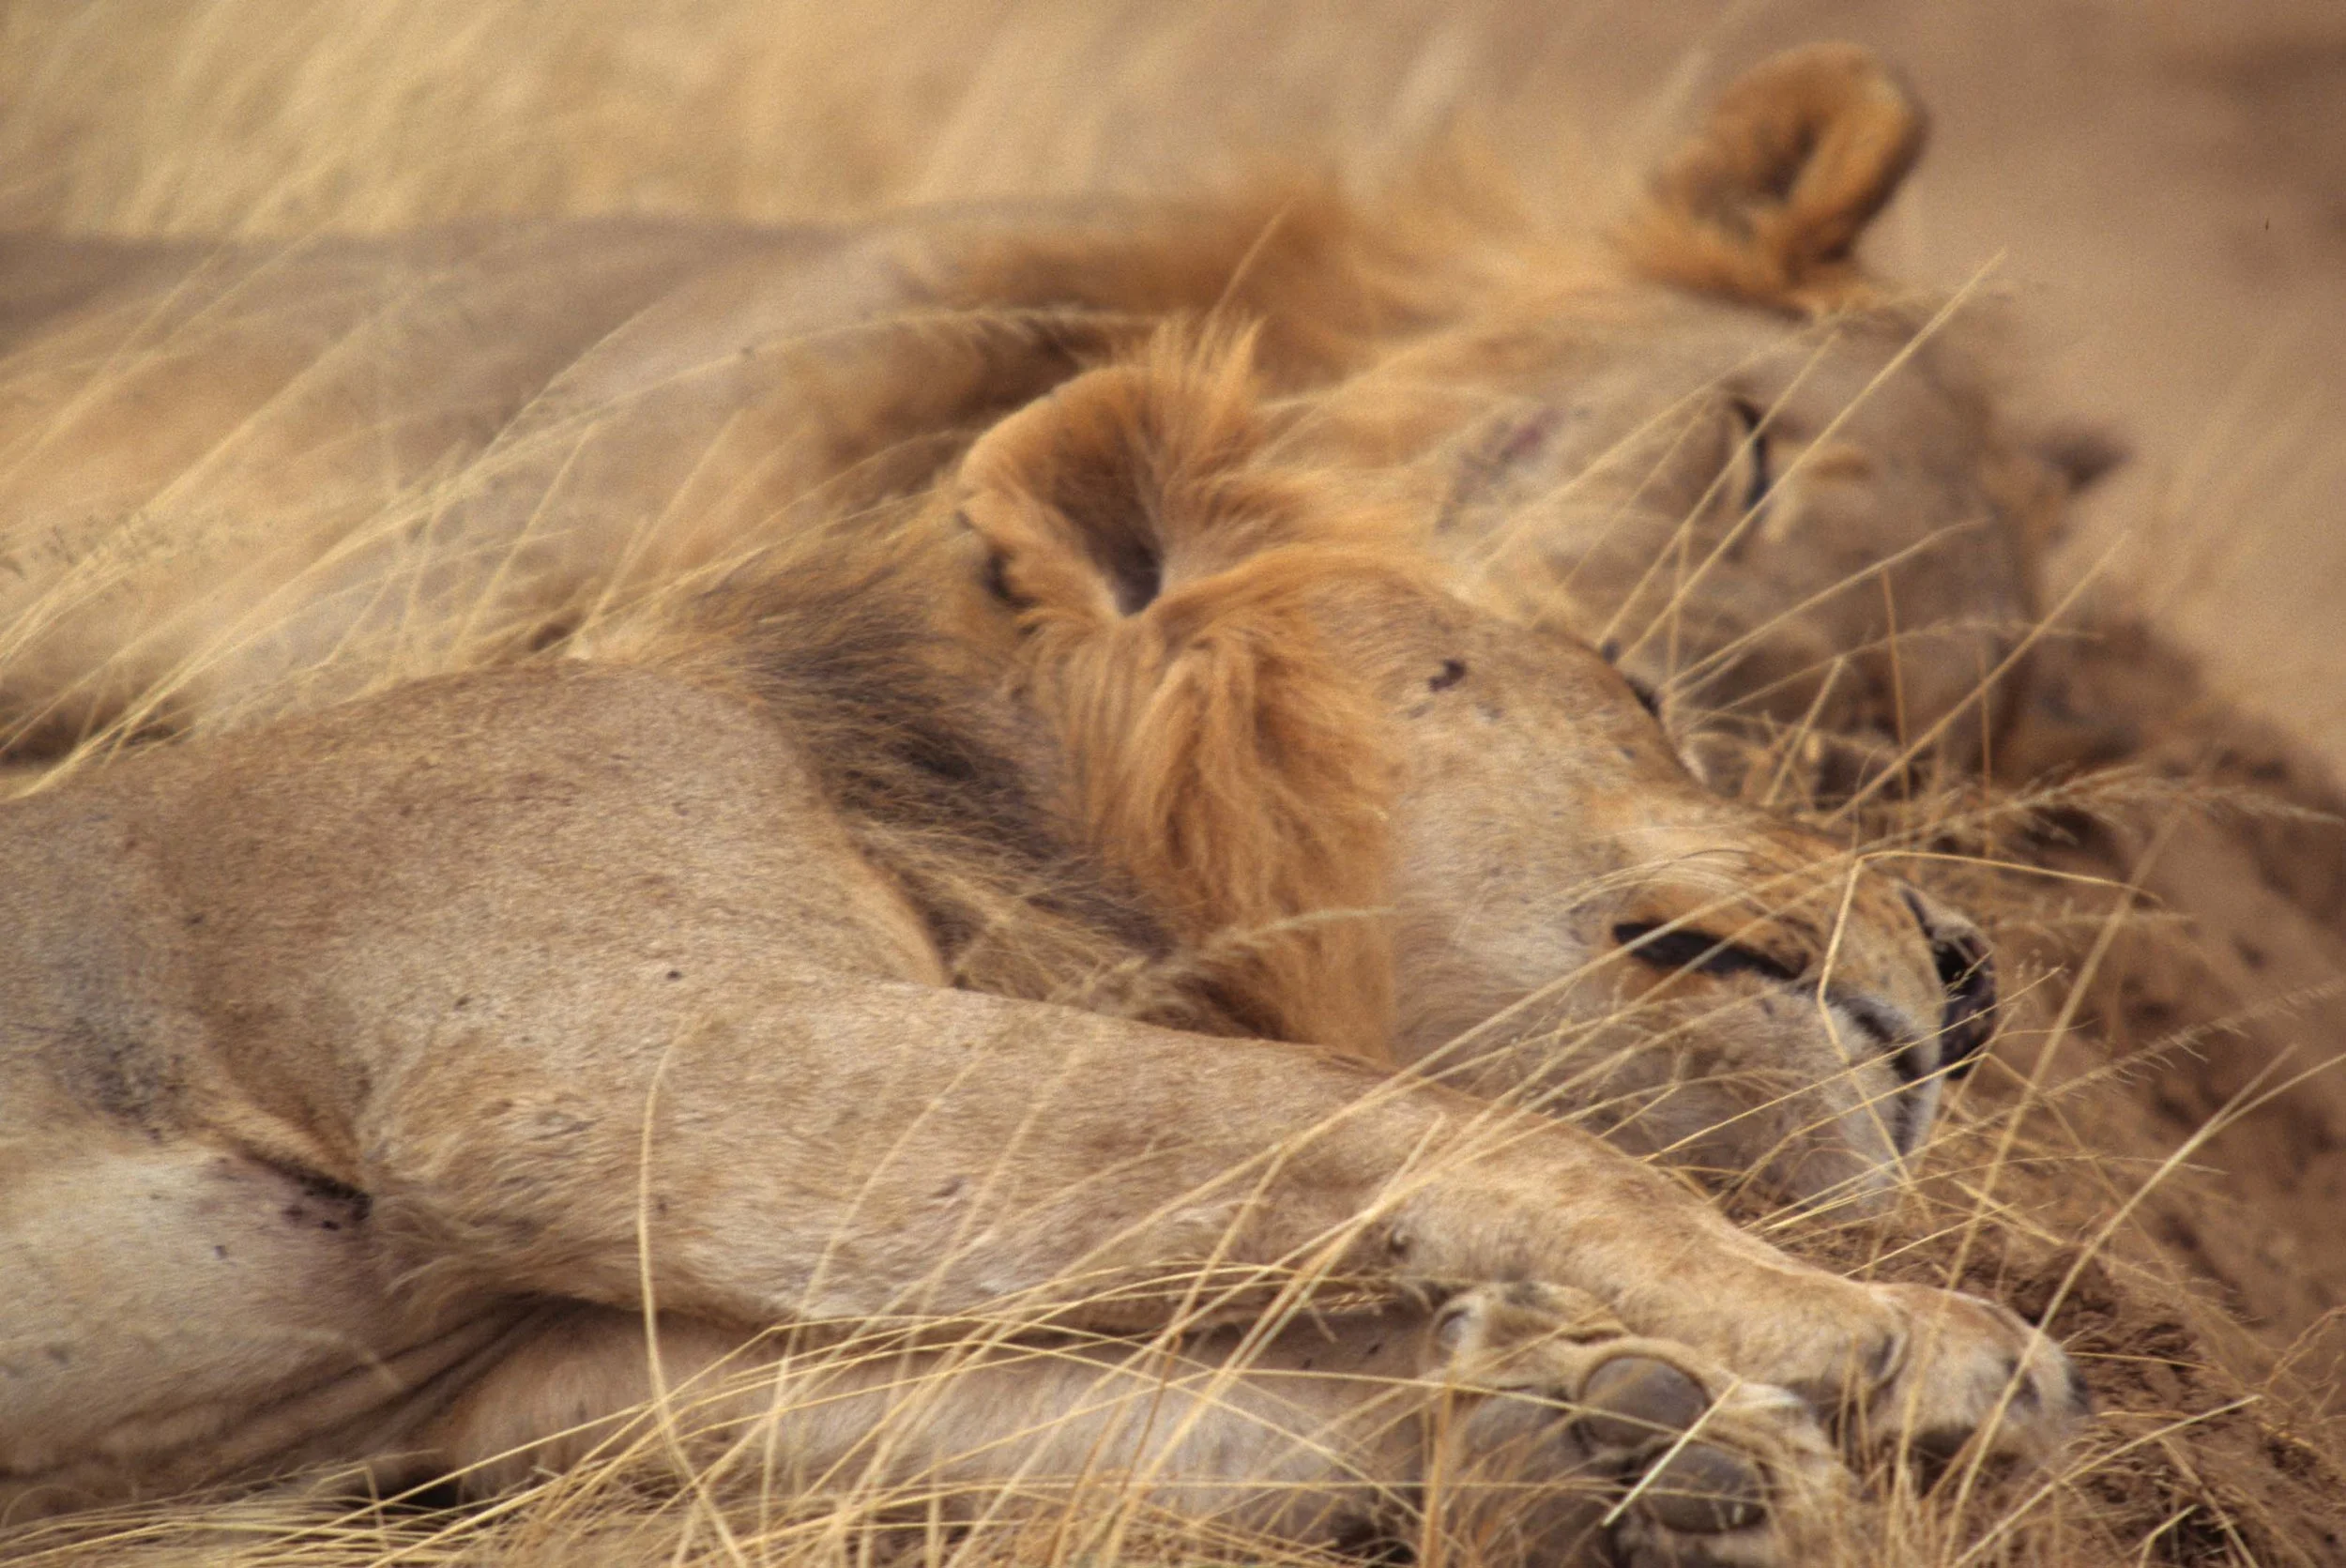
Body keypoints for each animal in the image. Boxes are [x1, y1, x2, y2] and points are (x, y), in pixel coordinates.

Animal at [0, 331, 2082, 1563]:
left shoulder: (539, 1375)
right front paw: (1899, 1334)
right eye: (1639, 688)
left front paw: (1600, 1442)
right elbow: (1408, 1111)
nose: (1977, 972)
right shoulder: (595, 1058)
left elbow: (1162, 1417)